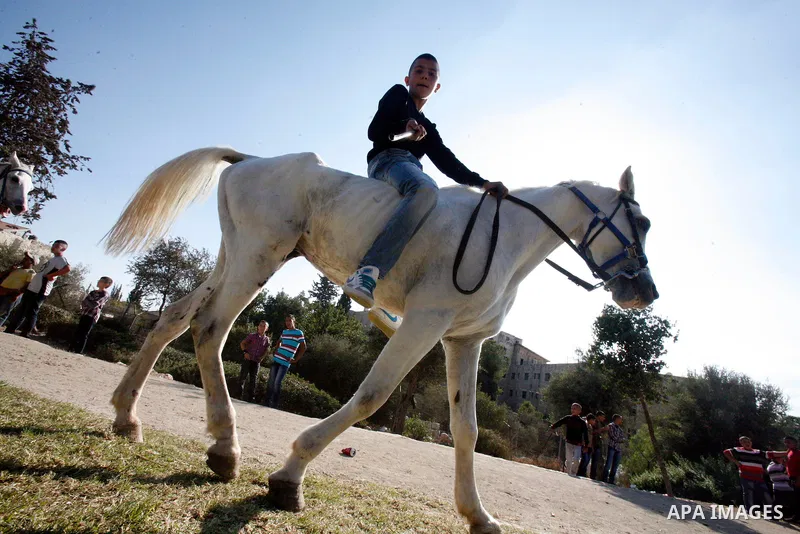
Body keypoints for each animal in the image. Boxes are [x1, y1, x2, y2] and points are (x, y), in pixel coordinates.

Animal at [103, 147, 658, 533]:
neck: (506, 239)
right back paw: (224, 447)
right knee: (210, 330)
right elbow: (372, 396)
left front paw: (477, 515)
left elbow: (467, 430)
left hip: (235, 257)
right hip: (257, 258)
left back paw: (128, 418)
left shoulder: (464, 342)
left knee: (173, 319)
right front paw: (290, 477)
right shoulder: (424, 325)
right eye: (642, 222)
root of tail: (251, 161)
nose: (645, 292)